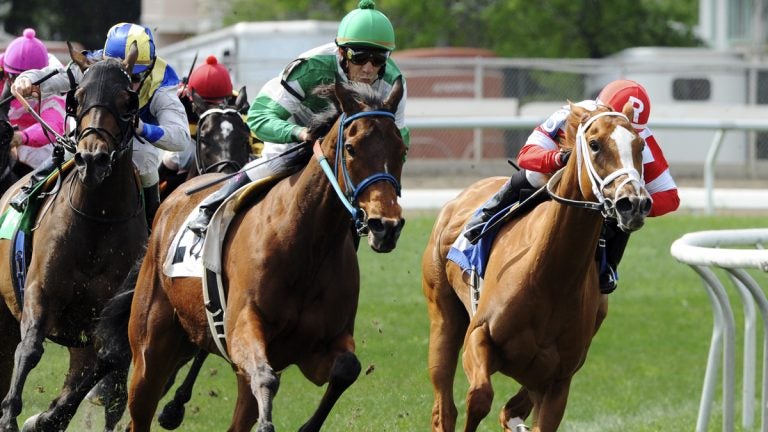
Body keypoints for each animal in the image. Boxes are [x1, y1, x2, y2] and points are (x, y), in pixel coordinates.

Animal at [0, 42, 147, 430]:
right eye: (77, 97)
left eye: (127, 101)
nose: (92, 159)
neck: (96, 220)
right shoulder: (40, 290)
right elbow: (30, 348)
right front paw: (10, 415)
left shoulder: (105, 319)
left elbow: (104, 364)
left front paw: (45, 417)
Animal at [126, 79, 408, 430]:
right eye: (352, 148)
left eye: (402, 149)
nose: (387, 226)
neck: (306, 245)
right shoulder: (242, 327)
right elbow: (264, 376)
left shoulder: (319, 344)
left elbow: (347, 369)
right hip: (149, 348)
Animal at [424, 103, 652, 430]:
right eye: (594, 144)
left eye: (640, 146)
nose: (633, 204)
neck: (550, 278)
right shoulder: (478, 337)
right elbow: (478, 397)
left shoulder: (557, 380)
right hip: (443, 314)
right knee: (445, 408)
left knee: (508, 409)